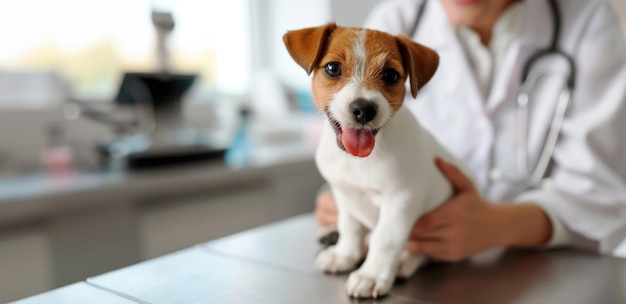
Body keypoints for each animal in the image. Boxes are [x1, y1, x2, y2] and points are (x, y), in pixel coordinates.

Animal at [282, 23, 472, 300]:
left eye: (391, 75)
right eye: (333, 68)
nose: (363, 109)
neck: (357, 160)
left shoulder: (400, 201)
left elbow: (385, 240)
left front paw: (371, 275)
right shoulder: (344, 194)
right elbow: (349, 227)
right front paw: (345, 254)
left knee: (423, 253)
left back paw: (404, 261)